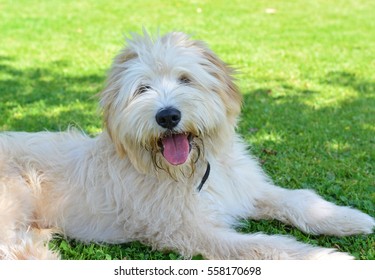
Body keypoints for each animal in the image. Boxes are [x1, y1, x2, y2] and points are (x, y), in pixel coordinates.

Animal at [0, 31, 375, 260]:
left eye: (185, 79)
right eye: (143, 89)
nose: (168, 116)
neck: (192, 171)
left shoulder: (243, 188)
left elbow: (299, 200)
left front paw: (349, 219)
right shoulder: (192, 233)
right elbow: (270, 246)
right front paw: (333, 261)